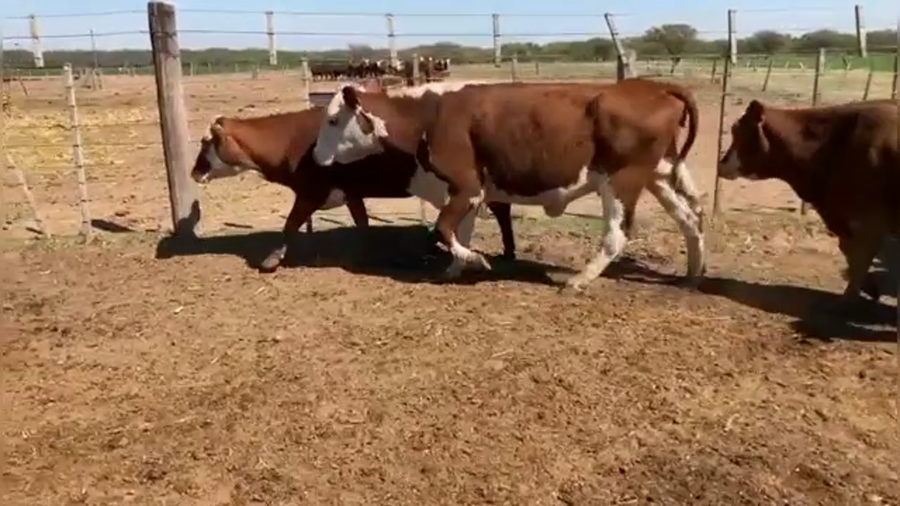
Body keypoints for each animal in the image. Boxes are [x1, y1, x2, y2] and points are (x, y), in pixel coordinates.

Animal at [188, 80, 516, 272]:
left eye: (205, 143)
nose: (193, 172)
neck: (291, 142)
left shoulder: (310, 193)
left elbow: (290, 224)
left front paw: (272, 259)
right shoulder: (351, 193)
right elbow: (362, 223)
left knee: (499, 210)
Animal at [311, 78, 707, 292]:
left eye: (332, 120)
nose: (315, 156)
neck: (426, 116)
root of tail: (655, 87)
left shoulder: (466, 186)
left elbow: (443, 228)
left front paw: (476, 261)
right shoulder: (468, 193)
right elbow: (458, 230)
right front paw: (454, 268)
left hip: (620, 180)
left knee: (617, 234)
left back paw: (580, 279)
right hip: (657, 175)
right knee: (691, 219)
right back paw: (693, 273)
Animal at [718, 98, 900, 313]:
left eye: (740, 132)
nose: (720, 164)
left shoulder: (869, 217)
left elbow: (860, 255)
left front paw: (848, 300)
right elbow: (849, 250)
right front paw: (870, 288)